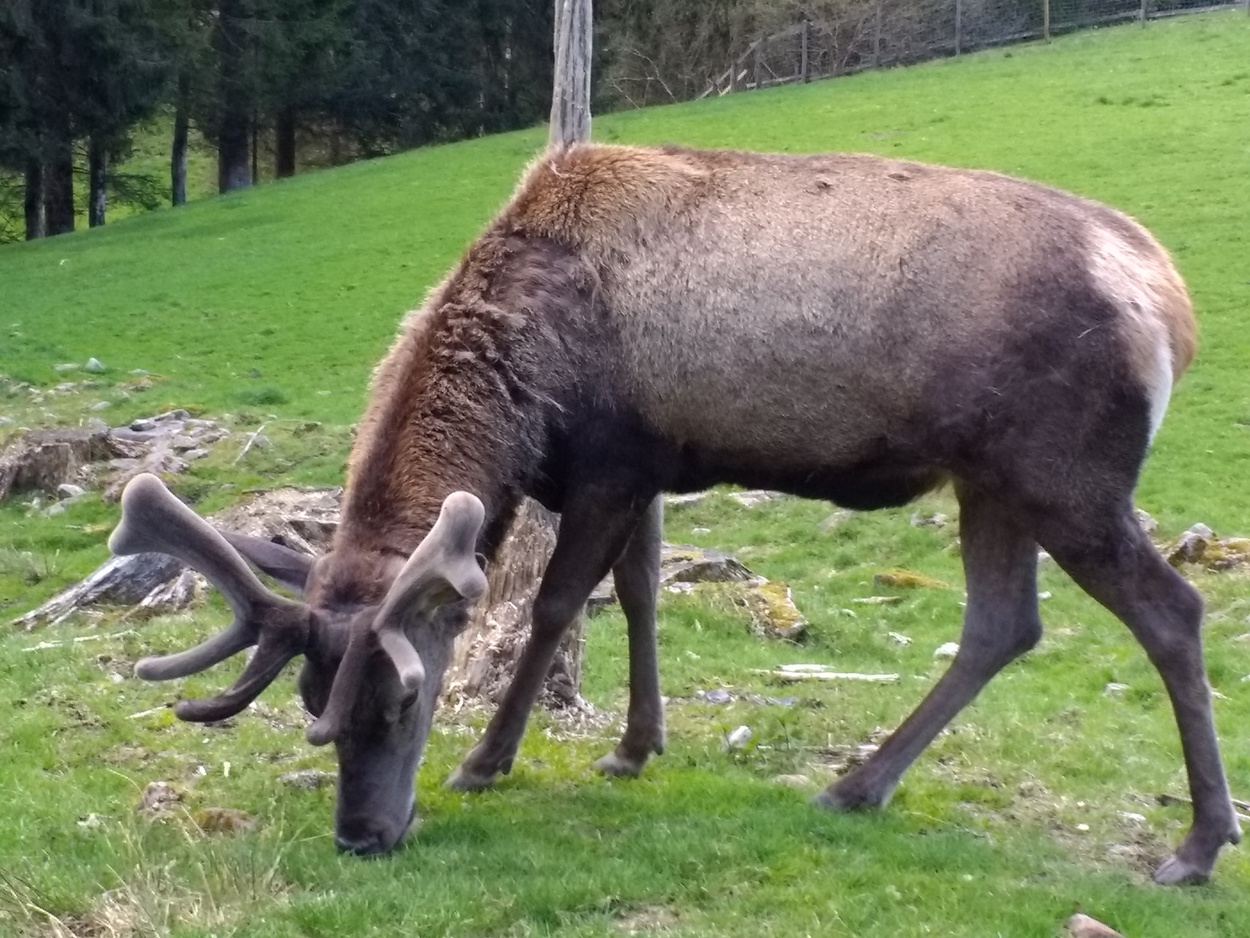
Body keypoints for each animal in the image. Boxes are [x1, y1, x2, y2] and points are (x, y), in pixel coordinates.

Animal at [109, 143, 1240, 884]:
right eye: (311, 698)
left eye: (403, 703)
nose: (361, 836)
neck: (528, 387)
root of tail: (1173, 305)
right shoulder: (651, 463)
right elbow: (642, 589)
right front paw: (633, 744)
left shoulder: (611, 461)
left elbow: (559, 602)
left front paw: (488, 760)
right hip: (989, 480)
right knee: (1004, 624)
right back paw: (855, 785)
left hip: (1064, 473)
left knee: (1171, 612)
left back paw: (1194, 845)